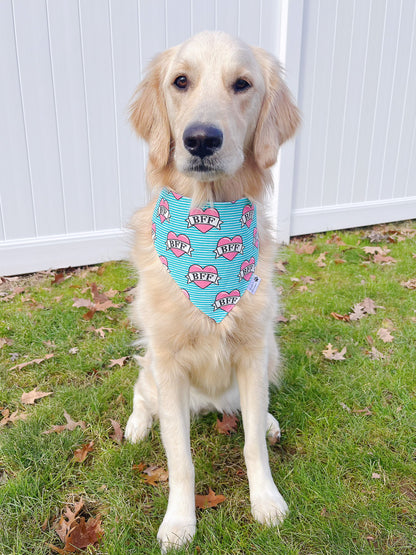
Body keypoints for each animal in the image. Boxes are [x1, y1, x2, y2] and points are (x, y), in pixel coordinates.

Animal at [123, 30, 300, 552]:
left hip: (271, 353)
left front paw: (266, 501)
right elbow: (180, 461)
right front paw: (179, 523)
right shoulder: (168, 362)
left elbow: (253, 445)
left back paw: (268, 420)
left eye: (242, 84)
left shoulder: (253, 351)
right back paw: (136, 426)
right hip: (152, 370)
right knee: (140, 394)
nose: (201, 139)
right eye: (181, 81)